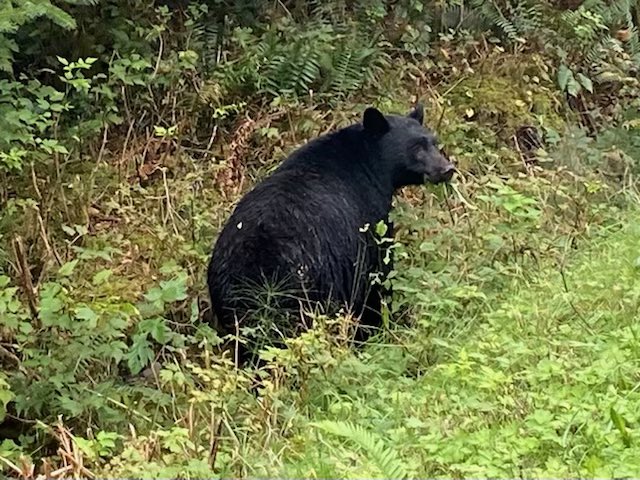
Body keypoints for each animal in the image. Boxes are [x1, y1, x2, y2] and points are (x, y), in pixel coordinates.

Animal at [207, 103, 455, 365]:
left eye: (434, 142)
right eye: (416, 147)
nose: (447, 169)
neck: (369, 163)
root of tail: (250, 273)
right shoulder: (370, 220)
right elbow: (379, 279)